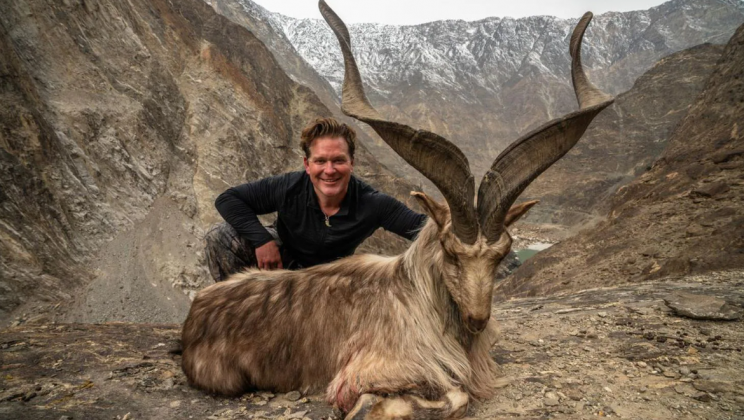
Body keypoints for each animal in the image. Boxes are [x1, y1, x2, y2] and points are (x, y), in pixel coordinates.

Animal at [181, 2, 614, 419]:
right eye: (450, 252)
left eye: (503, 254)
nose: (478, 319)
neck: (420, 299)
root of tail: (195, 312)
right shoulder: (369, 370)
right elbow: (454, 396)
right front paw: (367, 409)